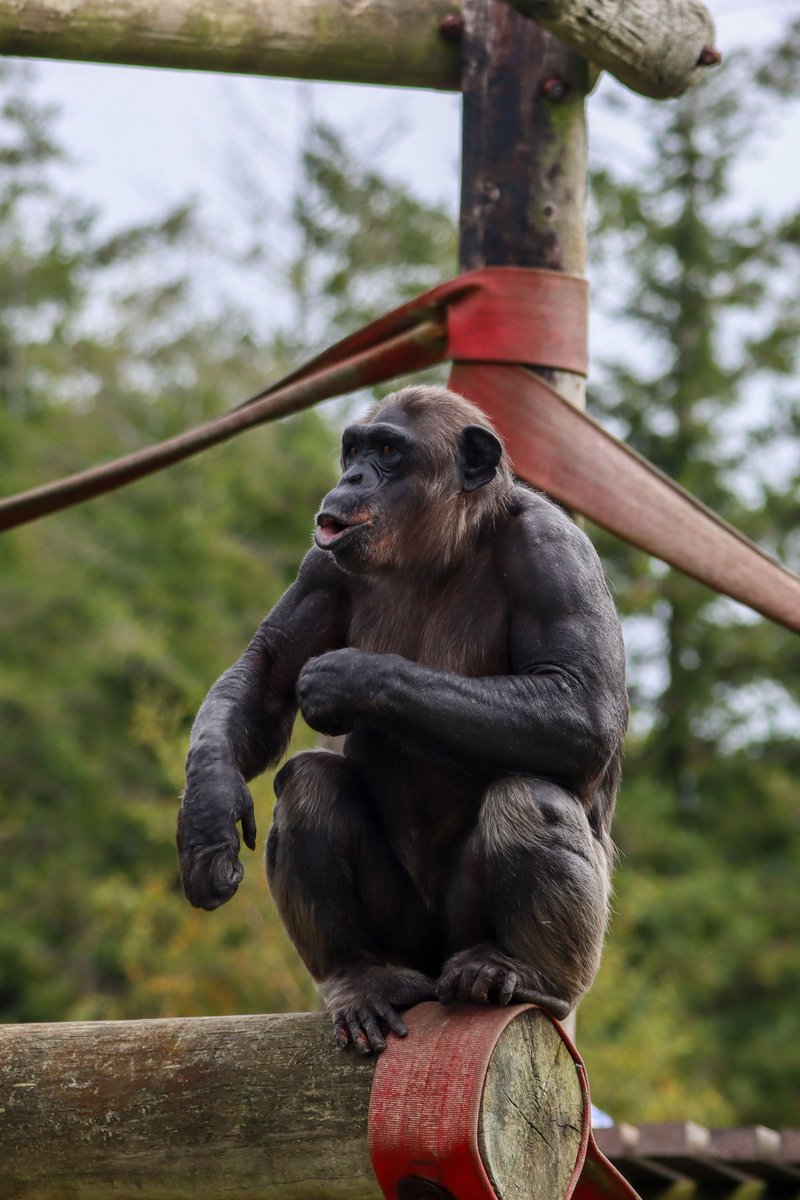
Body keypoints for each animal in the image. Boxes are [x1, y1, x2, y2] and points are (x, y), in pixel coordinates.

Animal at [177, 384, 628, 1055]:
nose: (354, 477)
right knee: (307, 786)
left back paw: (527, 973)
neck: (441, 546)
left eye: (389, 452)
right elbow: (264, 676)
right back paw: (362, 978)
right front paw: (207, 814)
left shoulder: (555, 553)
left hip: (492, 937)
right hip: (407, 938)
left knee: (530, 799)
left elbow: (582, 704)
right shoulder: (321, 567)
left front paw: (348, 678)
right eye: (354, 449)